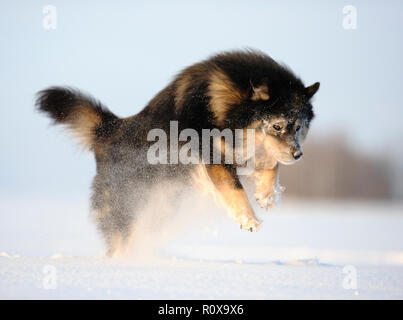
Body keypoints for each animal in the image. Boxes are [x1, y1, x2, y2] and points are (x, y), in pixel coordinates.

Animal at [37, 50, 322, 256]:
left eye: (298, 126)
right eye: (277, 125)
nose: (299, 155)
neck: (224, 105)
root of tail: (109, 129)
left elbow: (273, 164)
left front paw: (267, 195)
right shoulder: (214, 158)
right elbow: (235, 189)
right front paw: (249, 219)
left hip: (161, 202)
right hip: (126, 204)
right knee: (118, 239)